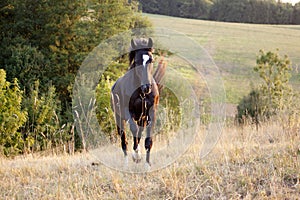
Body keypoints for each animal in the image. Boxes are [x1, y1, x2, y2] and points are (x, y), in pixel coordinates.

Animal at [110, 38, 166, 169]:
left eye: (151, 59)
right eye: (136, 61)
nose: (147, 87)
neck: (141, 93)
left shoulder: (151, 113)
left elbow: (148, 140)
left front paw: (147, 165)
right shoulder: (128, 112)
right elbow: (133, 130)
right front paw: (137, 156)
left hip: (142, 118)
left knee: (138, 134)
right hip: (119, 118)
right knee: (124, 141)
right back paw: (127, 163)